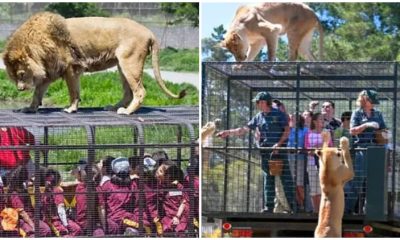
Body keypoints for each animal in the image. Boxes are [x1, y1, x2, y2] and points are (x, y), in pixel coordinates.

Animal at [3, 11, 186, 115]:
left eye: (21, 74)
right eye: (13, 76)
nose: (19, 89)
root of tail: (149, 32)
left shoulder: (71, 68)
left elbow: (73, 91)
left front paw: (71, 108)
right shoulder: (49, 72)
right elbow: (37, 94)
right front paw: (29, 108)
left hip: (130, 63)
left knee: (140, 91)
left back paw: (126, 112)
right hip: (122, 66)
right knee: (128, 92)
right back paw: (113, 107)